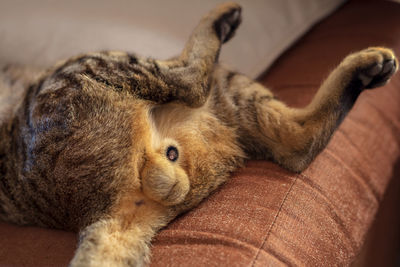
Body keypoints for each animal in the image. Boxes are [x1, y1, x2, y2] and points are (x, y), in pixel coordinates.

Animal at [0, 2, 396, 267]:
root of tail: (95, 212)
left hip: (226, 91)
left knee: (297, 141)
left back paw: (369, 68)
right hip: (97, 67)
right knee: (193, 81)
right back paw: (223, 19)